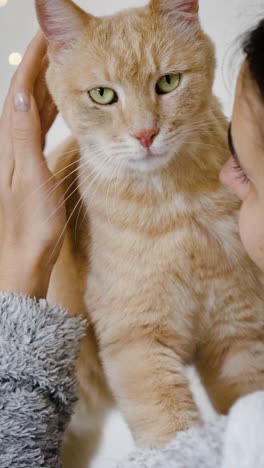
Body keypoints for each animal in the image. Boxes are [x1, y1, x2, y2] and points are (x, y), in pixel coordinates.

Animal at [34, 0, 262, 464]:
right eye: (103, 94)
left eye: (168, 82)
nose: (144, 134)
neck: (174, 208)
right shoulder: (137, 344)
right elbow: (170, 431)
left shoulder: (236, 335)